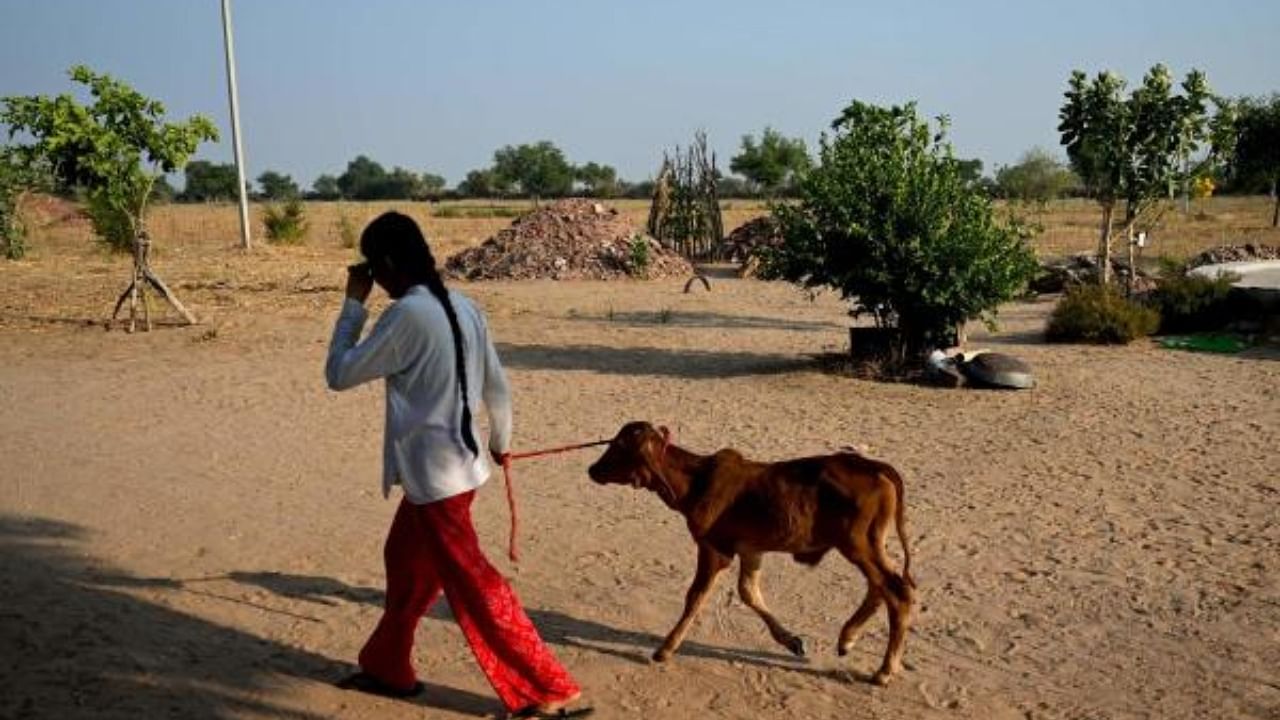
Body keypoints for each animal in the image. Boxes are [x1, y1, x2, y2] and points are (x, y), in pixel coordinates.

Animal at [586, 420, 916, 681]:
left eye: (620, 447)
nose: (592, 469)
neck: (695, 481)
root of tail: (874, 466)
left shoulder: (714, 549)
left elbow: (695, 597)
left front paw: (665, 649)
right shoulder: (751, 550)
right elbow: (749, 593)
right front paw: (792, 641)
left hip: (858, 544)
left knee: (896, 590)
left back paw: (884, 670)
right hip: (868, 544)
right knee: (883, 586)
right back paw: (847, 638)